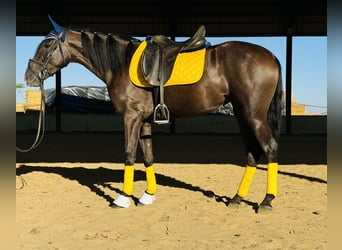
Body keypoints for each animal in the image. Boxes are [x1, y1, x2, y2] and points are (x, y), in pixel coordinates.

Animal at [24, 16, 284, 213]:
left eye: (46, 45)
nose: (29, 75)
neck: (120, 63)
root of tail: (270, 56)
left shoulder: (131, 117)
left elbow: (129, 154)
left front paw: (123, 198)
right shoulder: (145, 120)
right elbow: (148, 156)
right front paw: (148, 195)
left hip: (253, 115)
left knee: (269, 148)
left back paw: (266, 201)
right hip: (242, 115)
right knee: (252, 153)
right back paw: (236, 199)